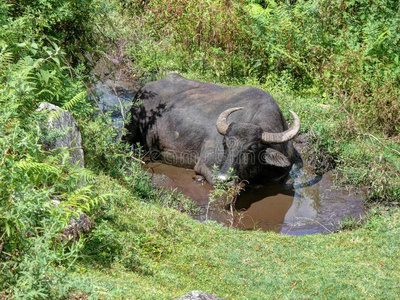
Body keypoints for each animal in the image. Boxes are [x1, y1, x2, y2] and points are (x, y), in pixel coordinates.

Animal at [125, 74, 300, 184]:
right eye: (224, 144)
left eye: (252, 148)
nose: (224, 177)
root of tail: (145, 88)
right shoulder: (204, 164)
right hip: (129, 126)